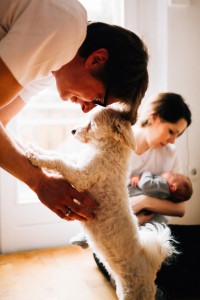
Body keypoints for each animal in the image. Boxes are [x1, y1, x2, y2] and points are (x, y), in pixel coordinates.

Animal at [25, 108, 176, 300]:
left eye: (91, 124)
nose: (72, 130)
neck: (104, 149)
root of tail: (151, 269)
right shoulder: (78, 161)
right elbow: (59, 155)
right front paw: (35, 149)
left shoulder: (81, 175)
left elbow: (59, 161)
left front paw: (36, 158)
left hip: (132, 292)